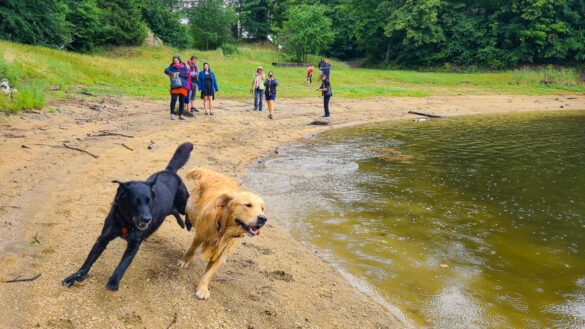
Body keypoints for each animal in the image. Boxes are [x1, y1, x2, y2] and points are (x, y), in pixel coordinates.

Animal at [62, 142, 193, 290]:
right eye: (135, 202)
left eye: (150, 201)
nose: (147, 219)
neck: (126, 222)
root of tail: (169, 171)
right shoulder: (102, 239)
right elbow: (89, 260)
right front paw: (76, 276)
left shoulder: (134, 244)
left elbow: (123, 264)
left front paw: (114, 281)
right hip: (166, 210)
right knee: (172, 212)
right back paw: (179, 224)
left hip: (182, 203)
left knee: (189, 209)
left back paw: (188, 223)